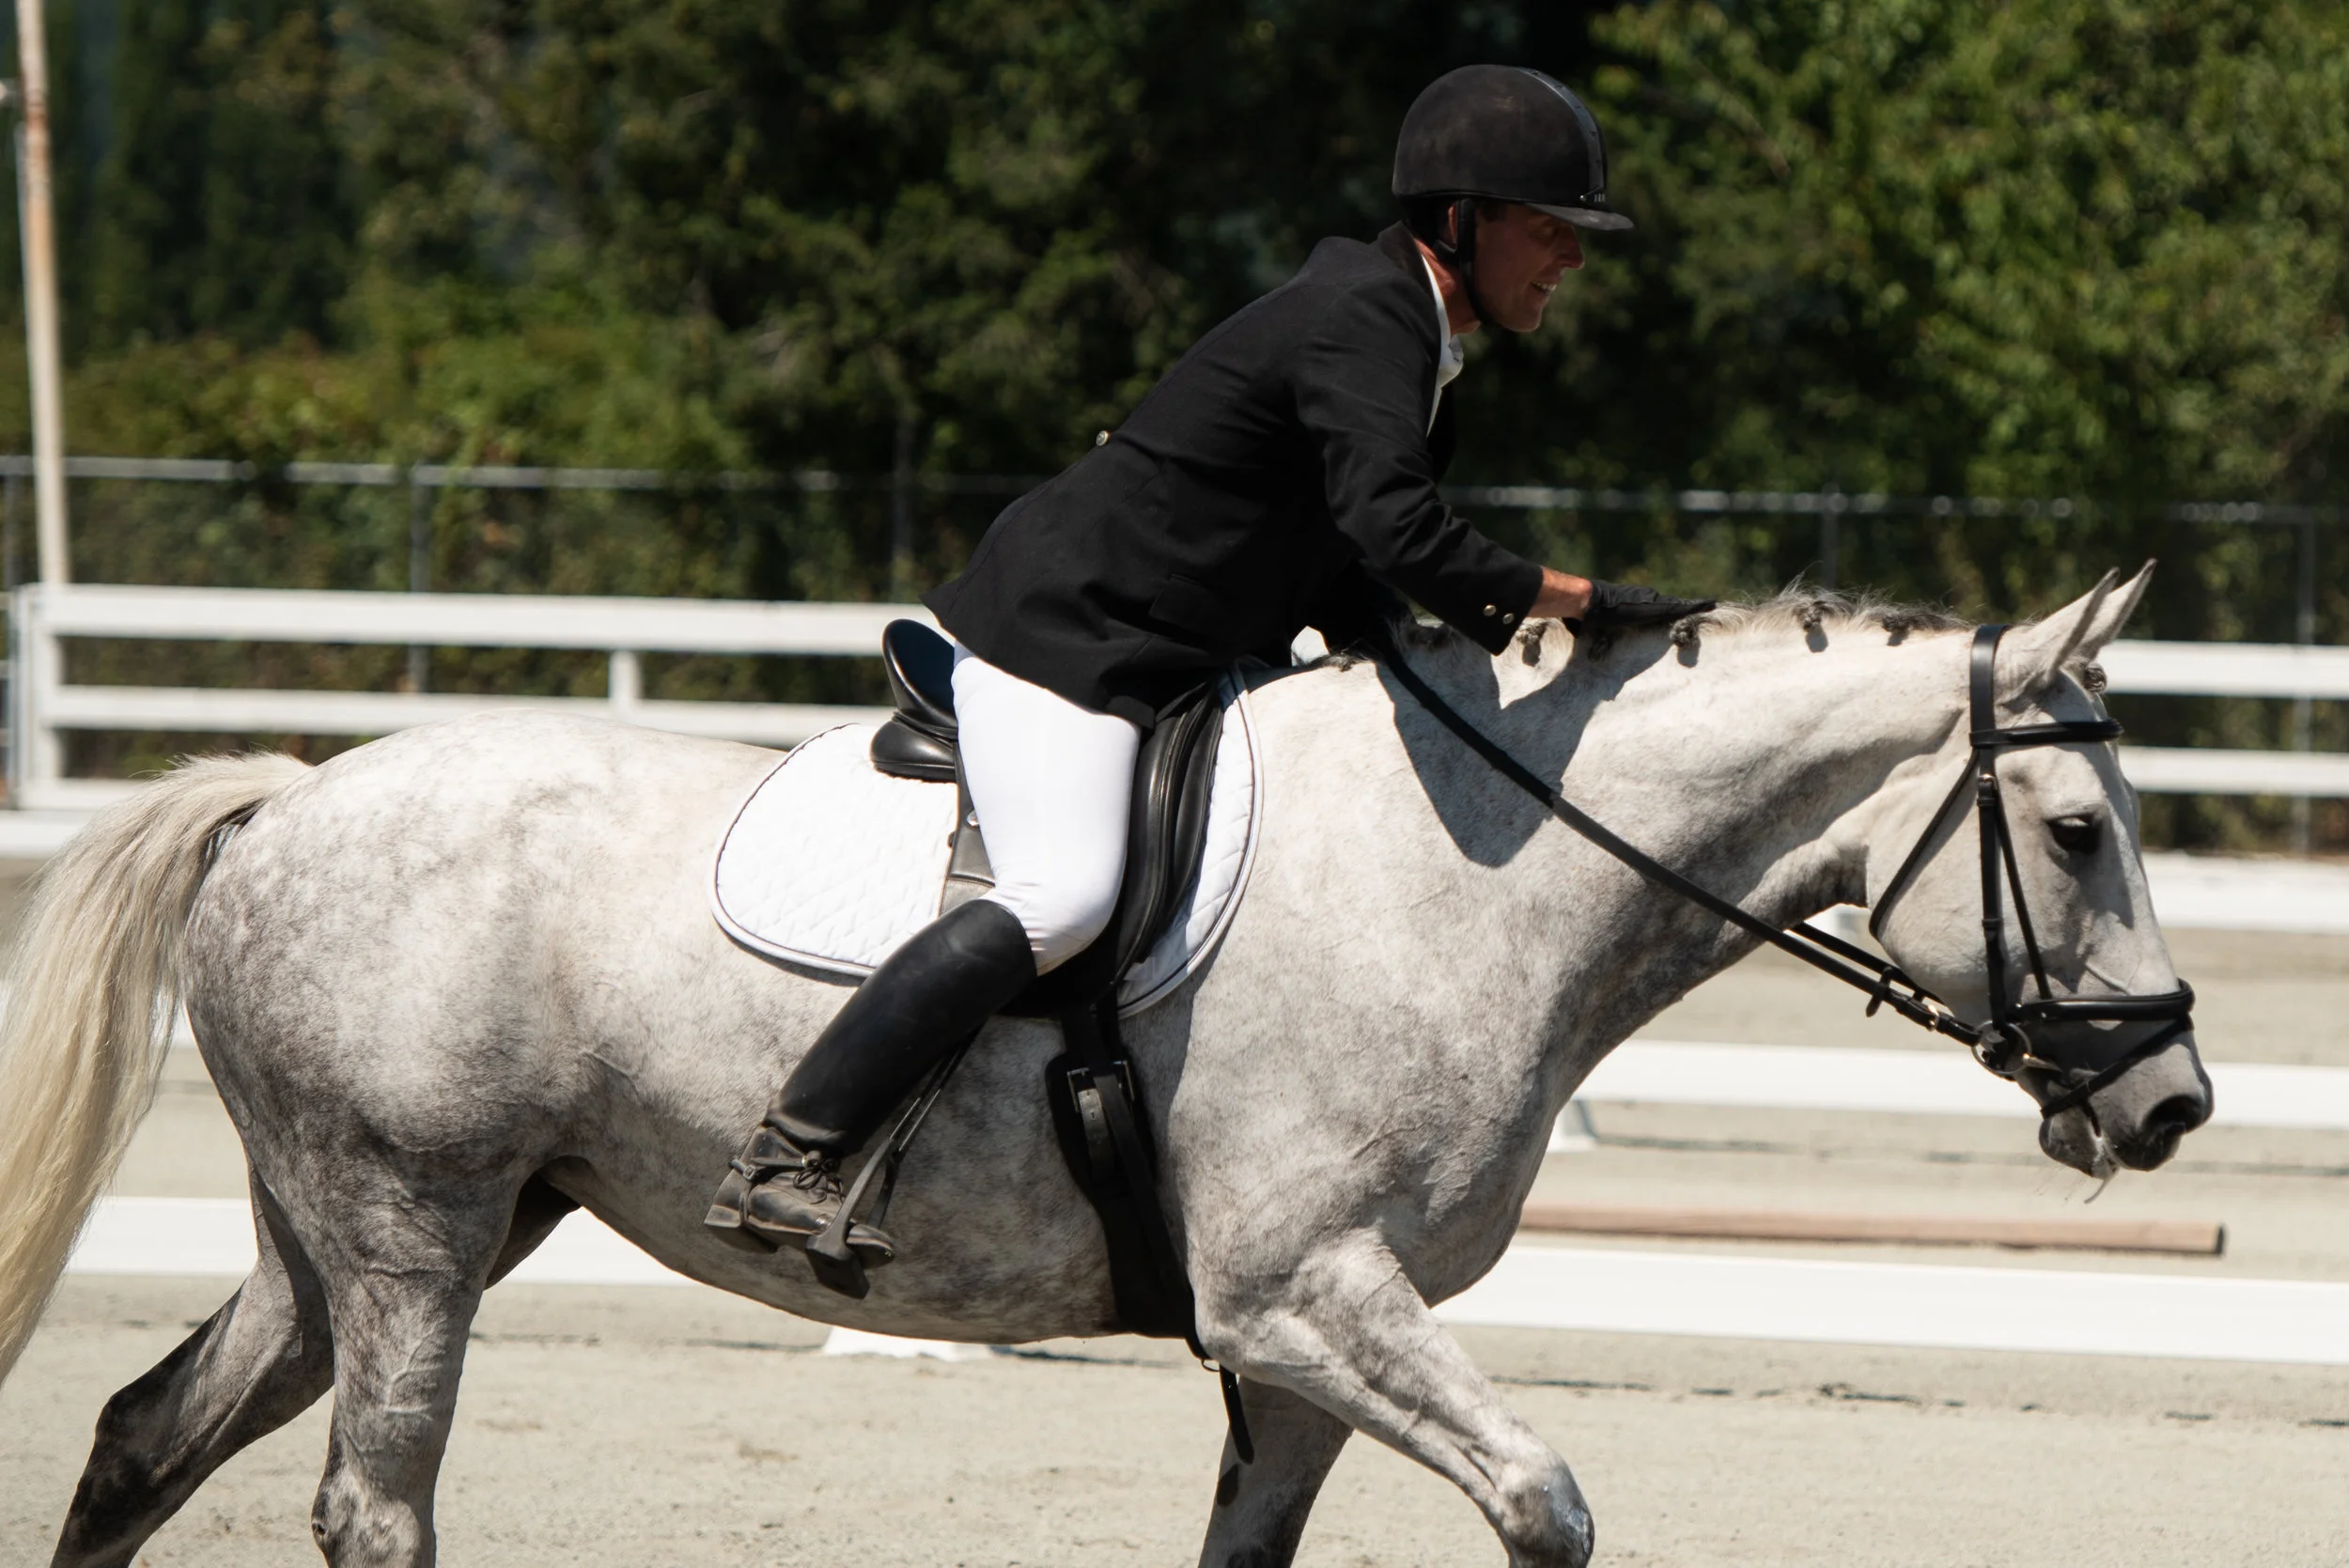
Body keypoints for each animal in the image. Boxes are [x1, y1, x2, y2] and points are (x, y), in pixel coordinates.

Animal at [0, 566, 2211, 1568]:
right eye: (2074, 832)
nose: (2171, 1100)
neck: (1471, 867)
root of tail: (288, 797)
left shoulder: (1302, 1346)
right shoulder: (1299, 1290)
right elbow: (1547, 1504)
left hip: (351, 1240)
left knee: (142, 1434)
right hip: (413, 1232)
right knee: (373, 1507)